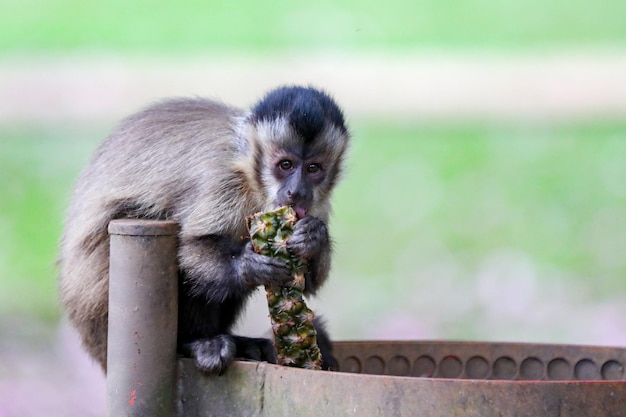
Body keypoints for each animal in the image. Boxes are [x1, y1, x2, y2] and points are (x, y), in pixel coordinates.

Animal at [58, 84, 348, 374]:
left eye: (313, 168)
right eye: (285, 165)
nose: (296, 192)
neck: (253, 184)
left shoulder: (316, 203)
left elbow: (307, 283)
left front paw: (313, 239)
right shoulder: (223, 179)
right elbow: (193, 245)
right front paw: (248, 264)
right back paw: (198, 342)